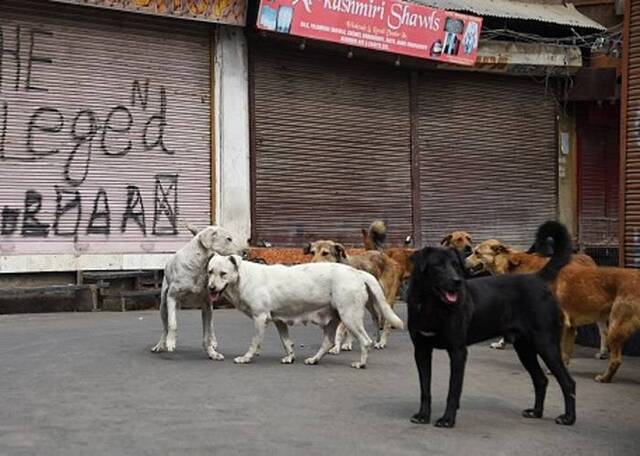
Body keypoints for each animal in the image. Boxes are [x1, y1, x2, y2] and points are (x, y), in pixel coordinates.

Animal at [150, 224, 248, 360]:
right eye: (229, 239)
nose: (245, 252)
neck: (199, 266)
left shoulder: (207, 304)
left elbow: (207, 332)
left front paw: (212, 352)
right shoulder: (172, 297)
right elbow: (172, 324)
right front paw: (170, 342)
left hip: (209, 308)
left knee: (210, 325)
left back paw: (213, 342)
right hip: (163, 306)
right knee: (165, 327)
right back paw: (160, 344)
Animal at [208, 255, 402, 368]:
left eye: (223, 273)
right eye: (209, 272)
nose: (210, 288)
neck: (244, 278)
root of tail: (357, 272)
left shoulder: (260, 318)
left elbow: (255, 342)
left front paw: (246, 358)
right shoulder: (279, 321)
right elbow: (286, 341)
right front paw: (290, 357)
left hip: (350, 317)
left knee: (366, 341)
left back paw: (360, 363)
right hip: (334, 319)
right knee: (328, 342)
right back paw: (314, 359)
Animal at [408, 221, 576, 428]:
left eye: (455, 265)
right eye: (438, 266)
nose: (457, 281)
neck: (432, 304)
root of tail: (538, 278)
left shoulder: (457, 351)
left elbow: (453, 390)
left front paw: (448, 419)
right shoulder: (421, 350)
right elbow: (425, 388)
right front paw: (423, 415)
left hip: (545, 343)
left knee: (567, 382)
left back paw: (568, 418)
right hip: (524, 347)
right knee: (541, 379)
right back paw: (536, 412)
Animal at [464, 240, 640, 382]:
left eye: (476, 253)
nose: (463, 262)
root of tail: (586, 257)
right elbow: (565, 352)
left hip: (616, 326)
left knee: (616, 359)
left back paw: (604, 378)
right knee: (603, 332)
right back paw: (603, 354)